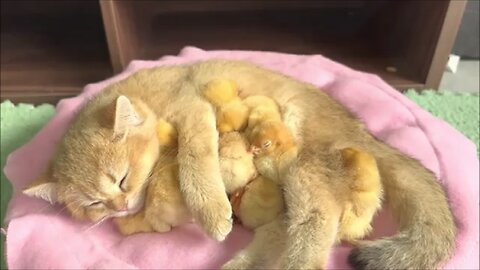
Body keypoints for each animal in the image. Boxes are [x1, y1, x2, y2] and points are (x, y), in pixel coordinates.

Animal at [21, 60, 454, 270]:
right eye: (94, 203)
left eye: (123, 179)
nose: (120, 207)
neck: (146, 97)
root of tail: (363, 134)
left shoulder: (193, 112)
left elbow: (195, 164)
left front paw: (212, 213)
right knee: (286, 231)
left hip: (304, 171)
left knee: (319, 226)